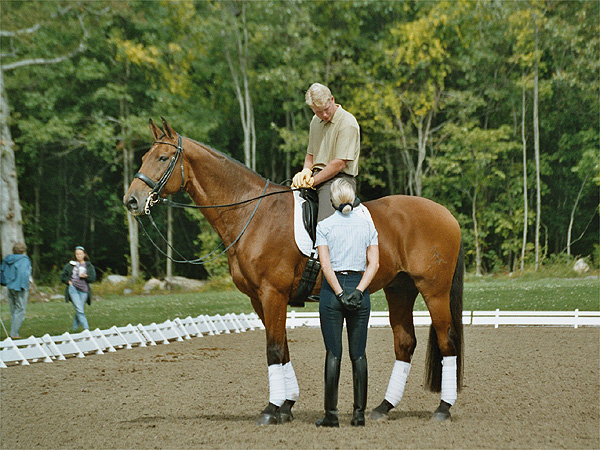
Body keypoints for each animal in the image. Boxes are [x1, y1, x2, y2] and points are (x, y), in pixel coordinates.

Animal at [124, 118, 466, 424]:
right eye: (143, 158)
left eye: (163, 158)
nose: (132, 200)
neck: (252, 214)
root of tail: (446, 214)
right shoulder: (259, 299)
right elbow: (283, 349)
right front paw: (285, 406)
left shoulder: (272, 294)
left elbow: (274, 349)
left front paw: (271, 410)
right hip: (400, 289)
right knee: (405, 343)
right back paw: (383, 408)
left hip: (434, 291)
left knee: (447, 340)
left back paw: (443, 408)